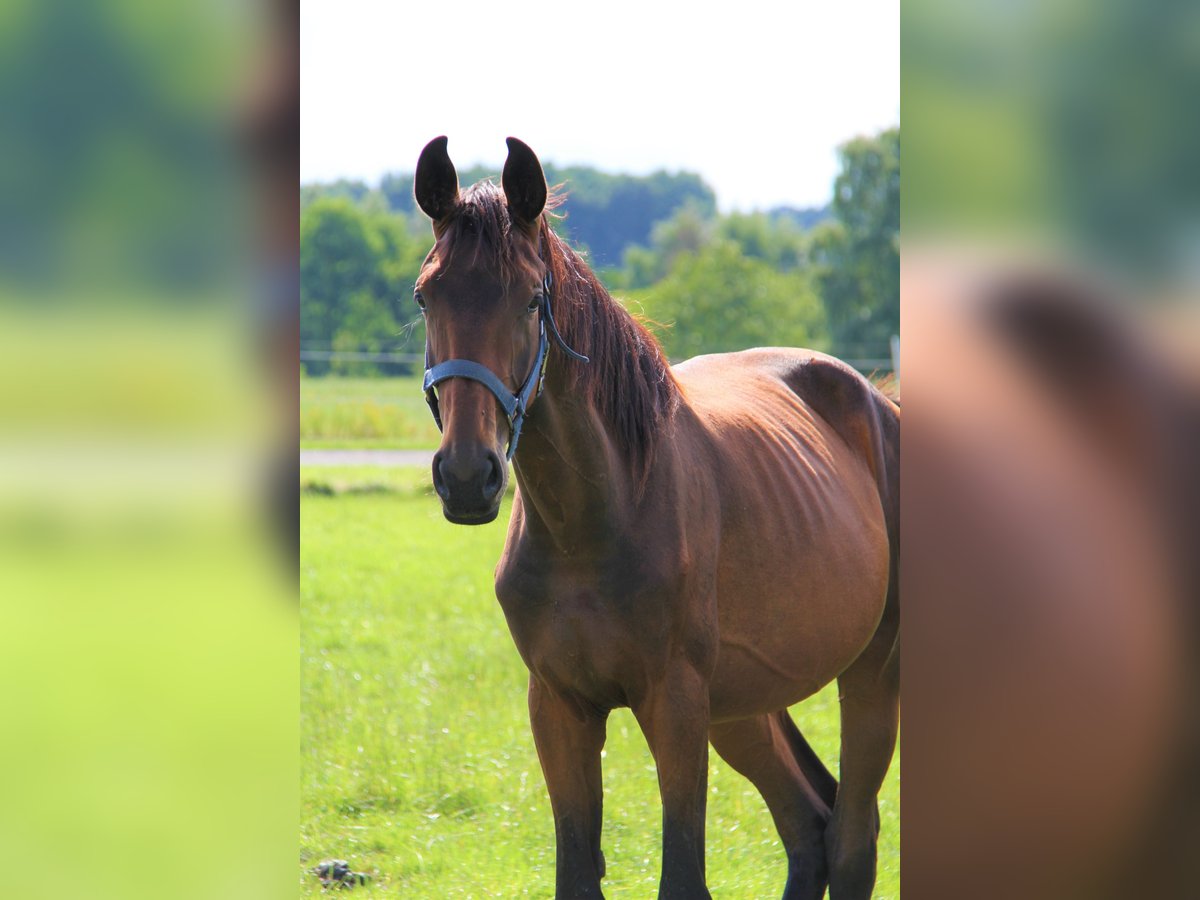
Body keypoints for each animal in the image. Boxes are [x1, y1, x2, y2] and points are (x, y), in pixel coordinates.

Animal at [408, 135, 897, 900]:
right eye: (426, 295)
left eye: (530, 298)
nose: (465, 476)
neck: (594, 523)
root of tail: (876, 402)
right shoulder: (560, 708)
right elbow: (577, 874)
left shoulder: (674, 704)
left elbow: (683, 875)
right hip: (744, 706)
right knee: (809, 827)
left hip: (872, 671)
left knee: (850, 838)